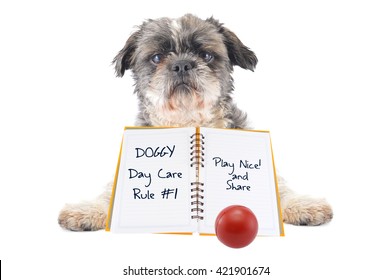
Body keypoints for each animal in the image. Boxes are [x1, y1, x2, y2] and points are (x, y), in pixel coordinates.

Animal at [58, 14, 334, 231]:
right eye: (157, 57)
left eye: (206, 55)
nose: (182, 64)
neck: (189, 120)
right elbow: (109, 192)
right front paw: (89, 210)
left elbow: (280, 186)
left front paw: (301, 204)